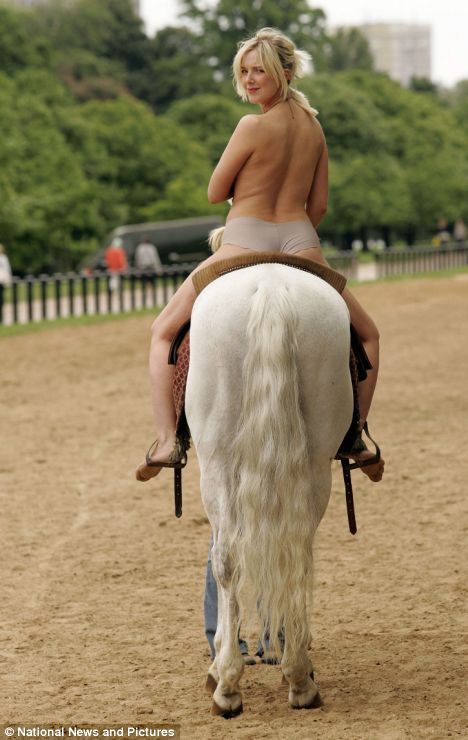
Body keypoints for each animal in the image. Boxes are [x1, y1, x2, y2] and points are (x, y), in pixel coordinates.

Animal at [185, 262, 353, 716]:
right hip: (311, 464)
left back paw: (235, 684)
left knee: (230, 560)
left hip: (219, 464)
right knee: (291, 553)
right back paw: (293, 674)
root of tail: (272, 286)